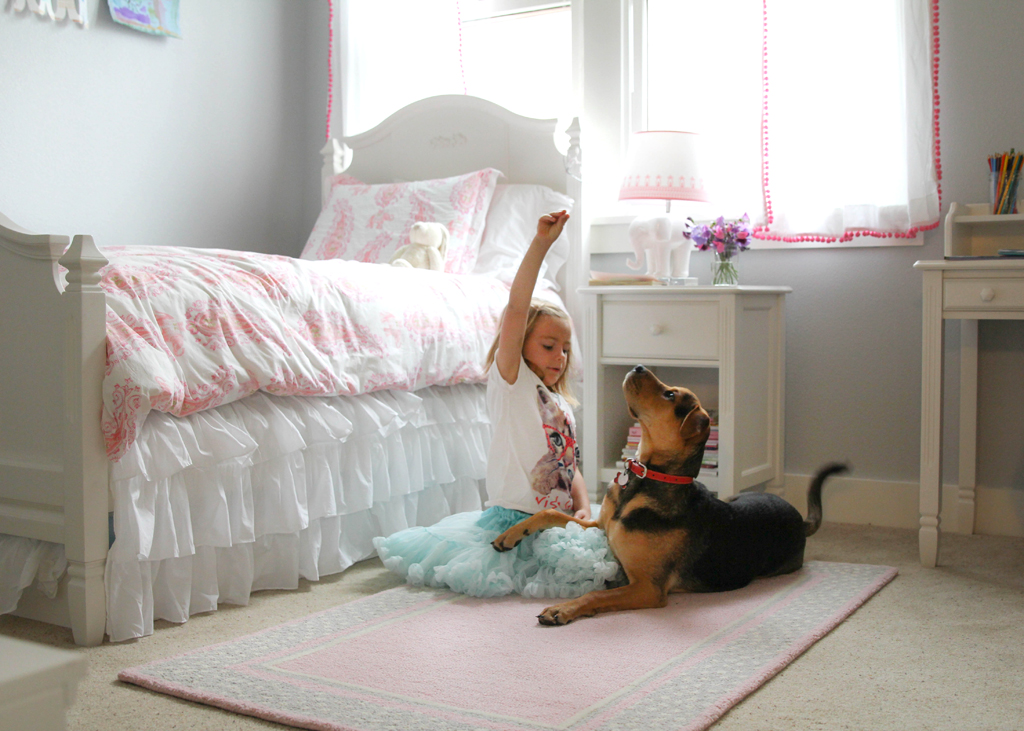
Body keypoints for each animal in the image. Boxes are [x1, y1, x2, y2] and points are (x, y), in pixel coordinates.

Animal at [491, 362, 843, 622]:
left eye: (670, 395)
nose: (637, 366)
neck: (647, 480)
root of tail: (801, 521)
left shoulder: (648, 587)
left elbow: (597, 593)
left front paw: (563, 608)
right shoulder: (601, 525)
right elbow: (549, 512)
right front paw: (509, 534)